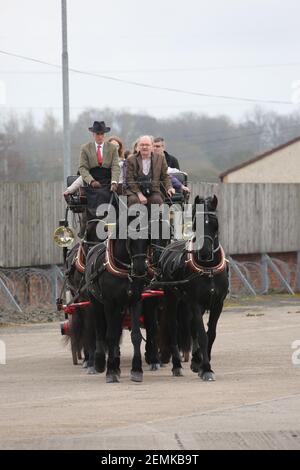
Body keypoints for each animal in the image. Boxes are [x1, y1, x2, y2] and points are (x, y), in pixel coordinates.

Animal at [156, 195, 229, 382]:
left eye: (215, 223)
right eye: (196, 223)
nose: (204, 252)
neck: (208, 269)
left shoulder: (217, 304)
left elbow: (210, 334)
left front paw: (202, 363)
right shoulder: (196, 304)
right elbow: (202, 335)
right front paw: (207, 368)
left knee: (191, 328)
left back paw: (195, 360)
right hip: (172, 299)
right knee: (174, 327)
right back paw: (176, 365)